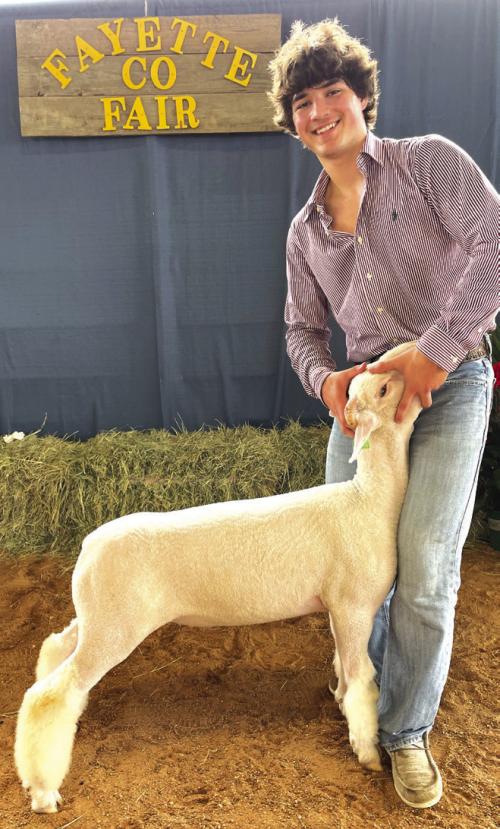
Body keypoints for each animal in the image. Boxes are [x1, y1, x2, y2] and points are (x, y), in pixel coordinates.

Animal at [14, 342, 422, 814]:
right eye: (384, 387)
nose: (414, 357)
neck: (370, 499)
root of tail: (88, 546)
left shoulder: (338, 607)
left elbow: (342, 663)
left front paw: (339, 704)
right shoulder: (355, 605)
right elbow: (361, 679)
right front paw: (368, 752)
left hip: (98, 615)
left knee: (55, 647)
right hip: (116, 627)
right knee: (49, 695)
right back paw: (44, 792)